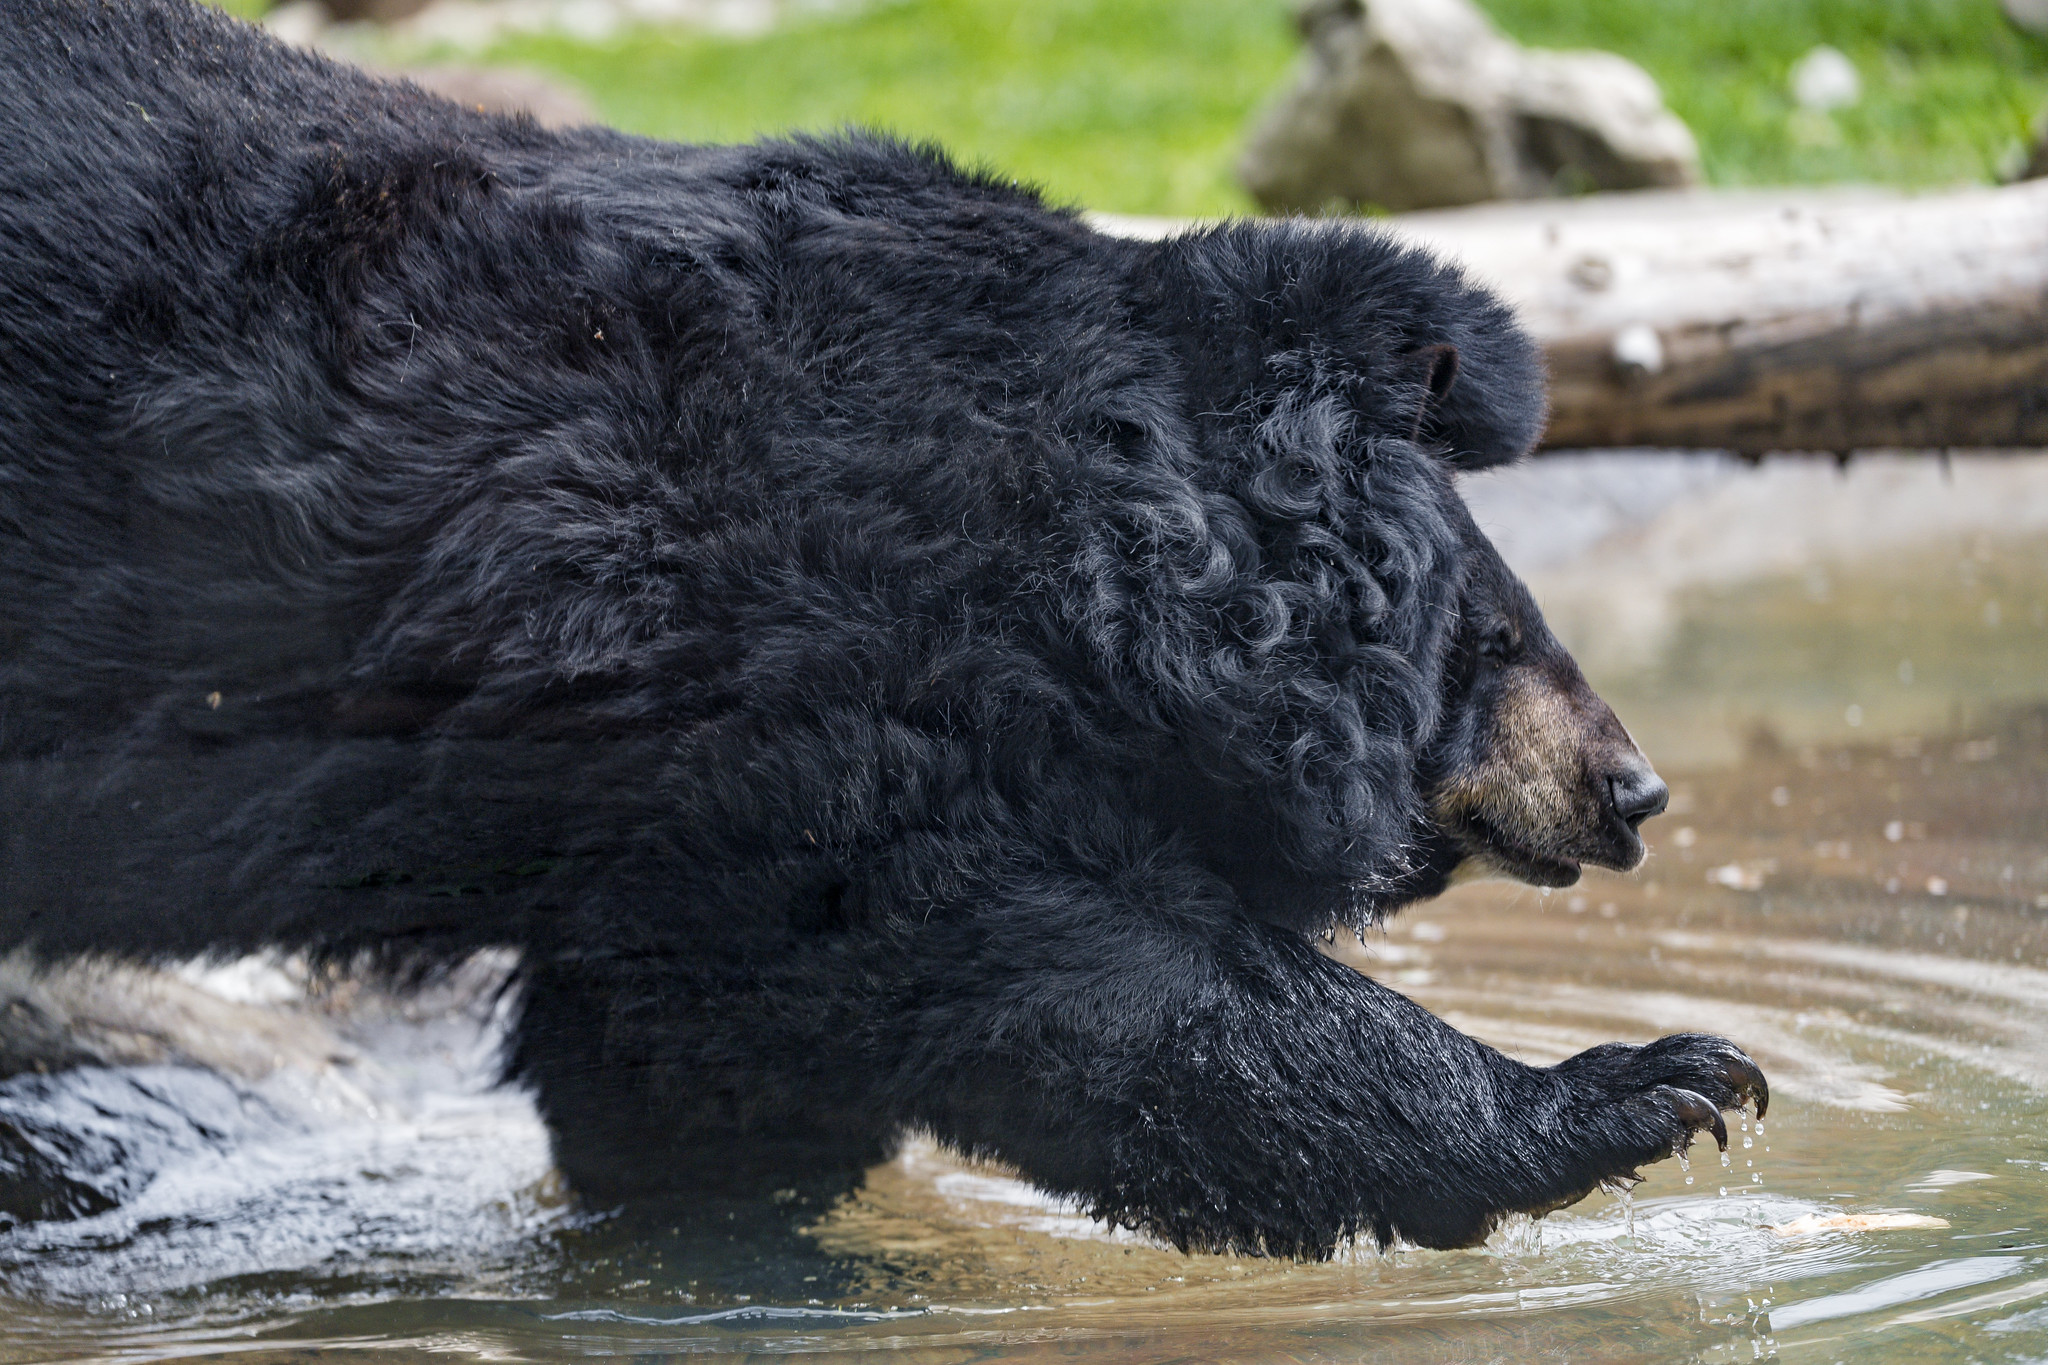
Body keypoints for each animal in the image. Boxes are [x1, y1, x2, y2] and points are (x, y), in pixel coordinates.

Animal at [4, 0, 1761, 1260]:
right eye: (1502, 635)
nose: (1635, 790)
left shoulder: (662, 807)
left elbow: (674, 1052)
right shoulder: (811, 680)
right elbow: (1094, 987)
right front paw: (1657, 1086)